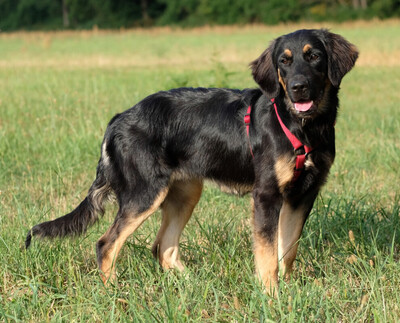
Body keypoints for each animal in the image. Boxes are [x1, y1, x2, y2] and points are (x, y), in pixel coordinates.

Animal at [25, 29, 358, 294]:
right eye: (284, 61)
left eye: (314, 56)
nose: (299, 87)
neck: (301, 127)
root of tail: (118, 120)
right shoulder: (266, 195)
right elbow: (267, 256)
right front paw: (271, 296)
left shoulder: (303, 195)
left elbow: (286, 250)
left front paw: (287, 292)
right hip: (144, 194)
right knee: (106, 244)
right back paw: (115, 292)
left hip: (184, 194)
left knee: (163, 248)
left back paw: (195, 284)